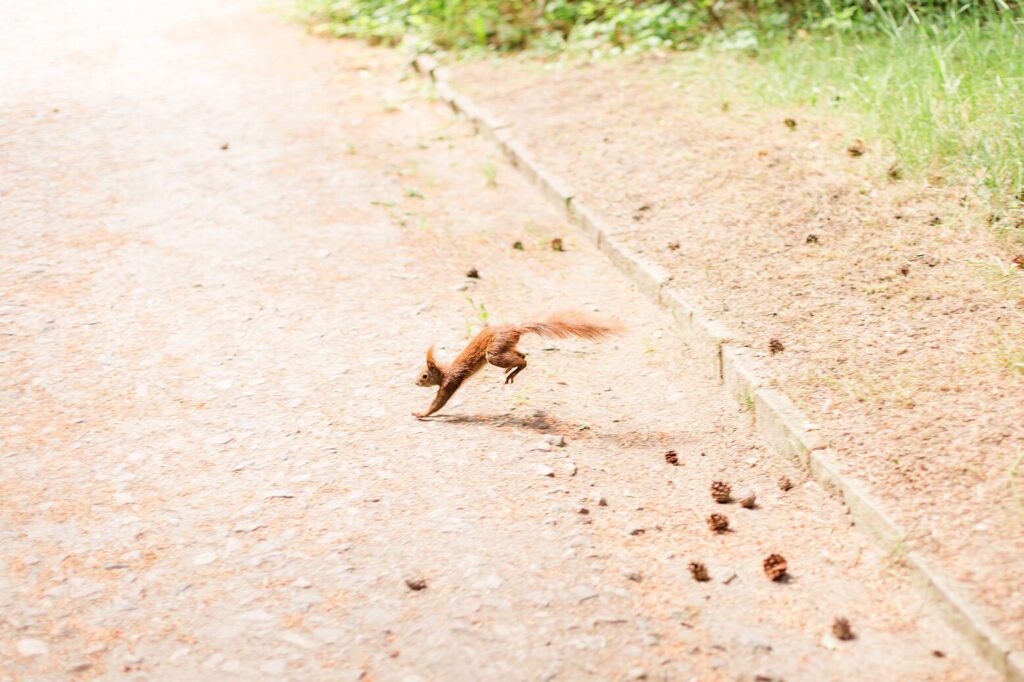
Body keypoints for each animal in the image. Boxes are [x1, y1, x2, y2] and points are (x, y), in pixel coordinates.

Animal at [411, 309, 618, 417]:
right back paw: (512, 369)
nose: (415, 383)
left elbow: (439, 403)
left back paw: (513, 371)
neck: (443, 371)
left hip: (493, 353)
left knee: (521, 360)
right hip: (504, 348)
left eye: (424, 375)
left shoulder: (450, 382)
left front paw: (421, 414)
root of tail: (515, 329)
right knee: (523, 355)